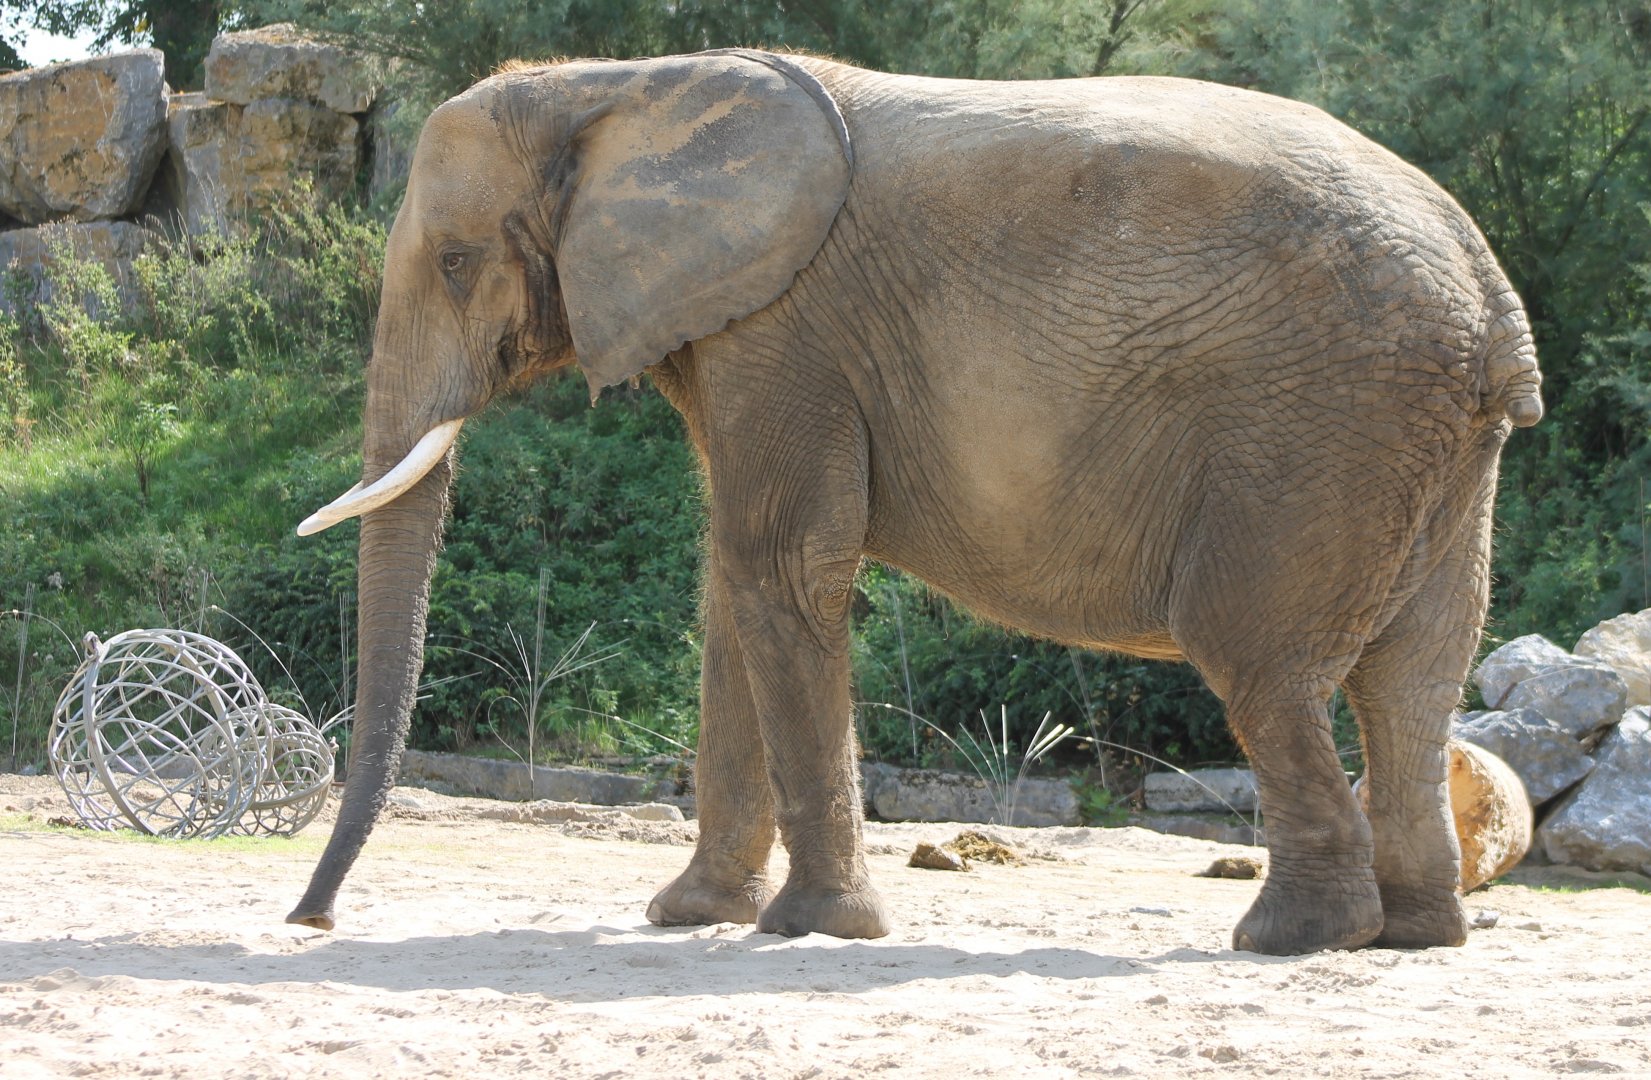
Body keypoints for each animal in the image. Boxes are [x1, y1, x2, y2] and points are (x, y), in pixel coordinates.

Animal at [285, 48, 1543, 956]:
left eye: (454, 263)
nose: (310, 918)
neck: (613, 85)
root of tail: (1490, 299)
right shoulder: (743, 330)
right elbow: (729, 588)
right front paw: (688, 919)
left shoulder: (784, 329)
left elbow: (781, 571)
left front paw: (812, 931)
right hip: (1427, 446)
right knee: (1415, 674)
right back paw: (1415, 936)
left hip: (1314, 424)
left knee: (1259, 660)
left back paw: (1292, 937)